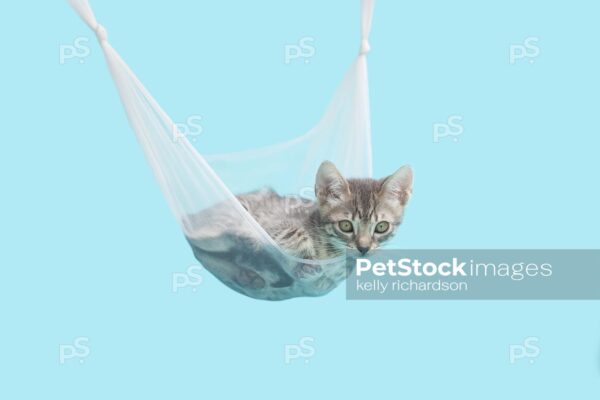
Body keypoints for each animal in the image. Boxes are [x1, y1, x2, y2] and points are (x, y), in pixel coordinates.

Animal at [188, 161, 412, 298]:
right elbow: (296, 233)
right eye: (346, 225)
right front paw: (308, 264)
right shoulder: (277, 222)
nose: (364, 248)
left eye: (381, 227)